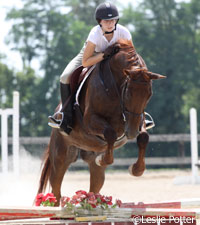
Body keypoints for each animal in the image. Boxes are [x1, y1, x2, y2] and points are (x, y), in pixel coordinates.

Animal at [37, 39, 166, 206]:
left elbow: (143, 137)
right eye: (128, 93)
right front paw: (103, 159)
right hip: (61, 156)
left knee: (94, 187)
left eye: (149, 94)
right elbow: (110, 133)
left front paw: (136, 169)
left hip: (92, 165)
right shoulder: (90, 120)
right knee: (56, 190)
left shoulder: (139, 119)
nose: (131, 132)